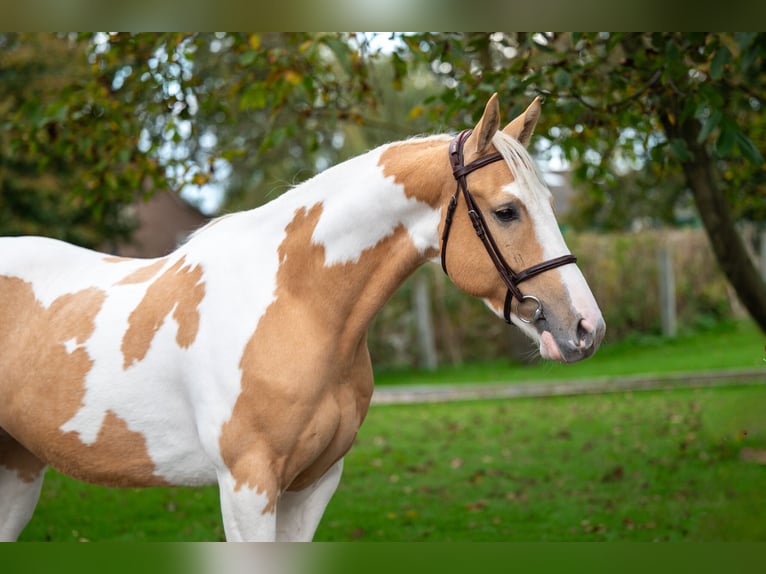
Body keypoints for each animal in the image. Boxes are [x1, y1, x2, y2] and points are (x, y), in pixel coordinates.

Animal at [3, 92, 608, 544]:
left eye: (551, 205)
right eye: (506, 211)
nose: (586, 328)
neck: (296, 304)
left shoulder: (313, 485)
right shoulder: (247, 487)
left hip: (20, 468)